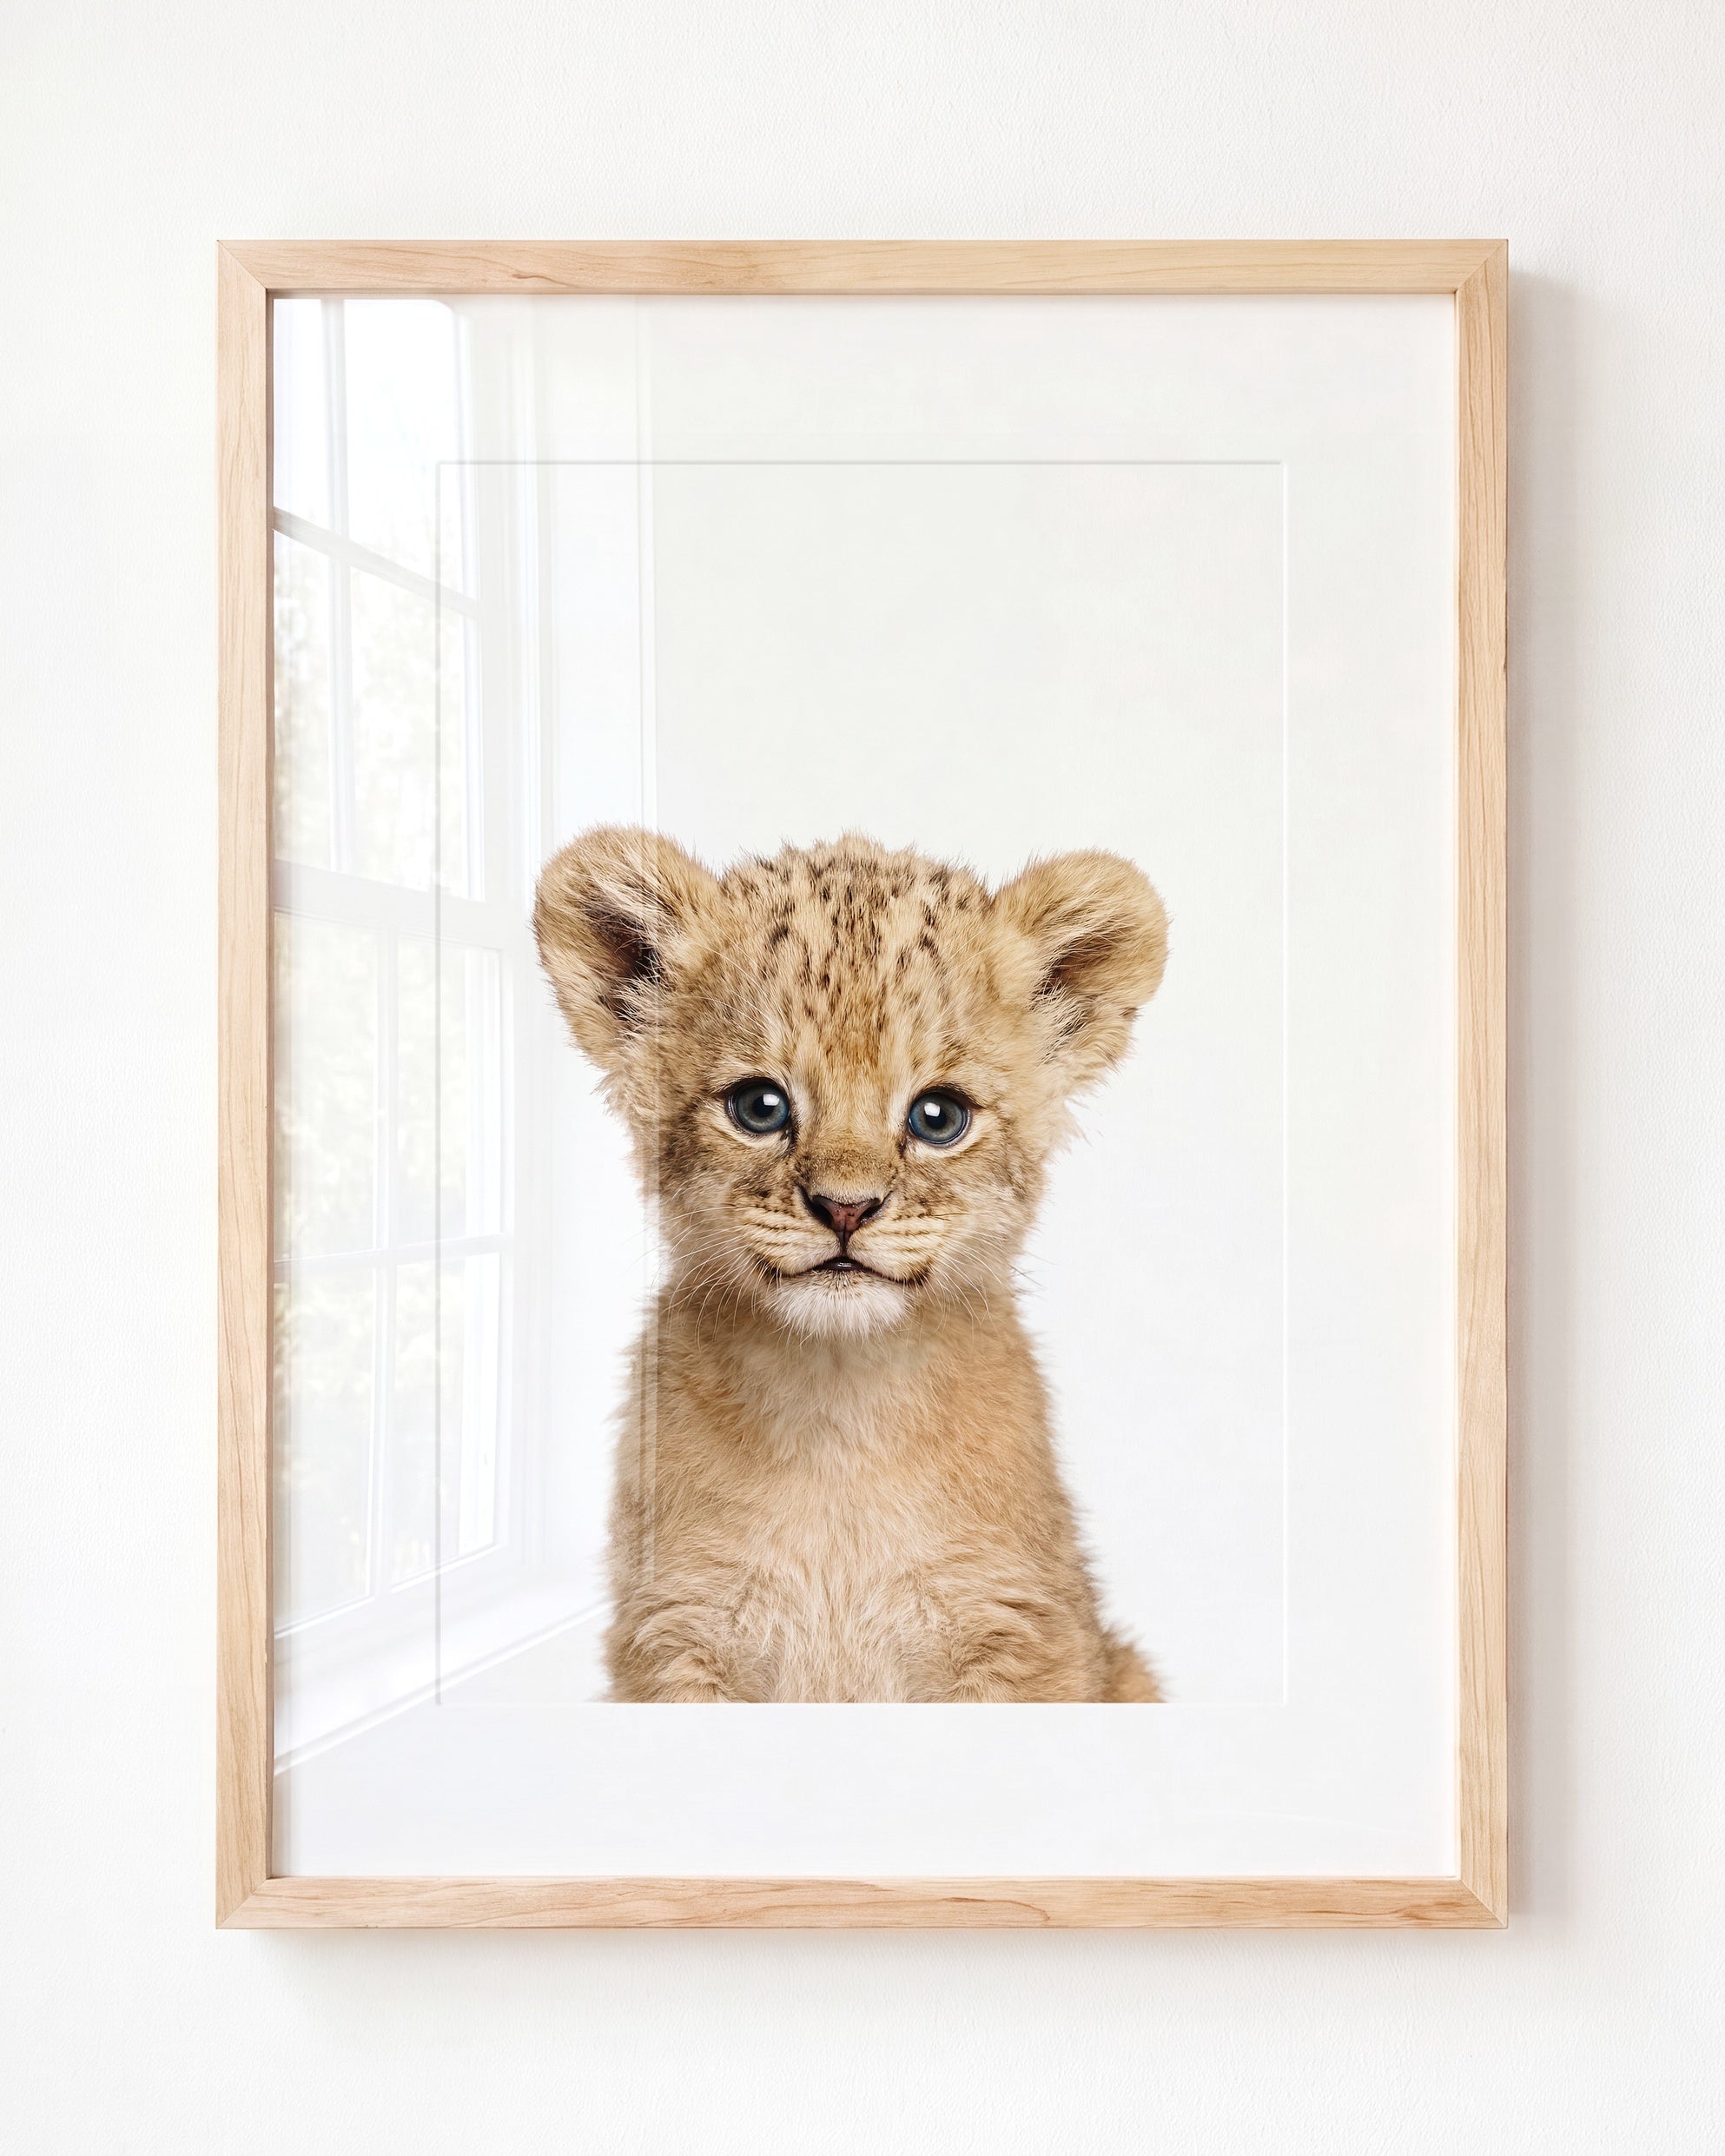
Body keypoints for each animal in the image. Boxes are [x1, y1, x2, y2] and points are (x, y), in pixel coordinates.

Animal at [534, 827, 1168, 1702]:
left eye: (938, 1117)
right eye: (760, 1107)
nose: (845, 1208)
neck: (838, 1410)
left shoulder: (1019, 1630)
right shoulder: (676, 1633)